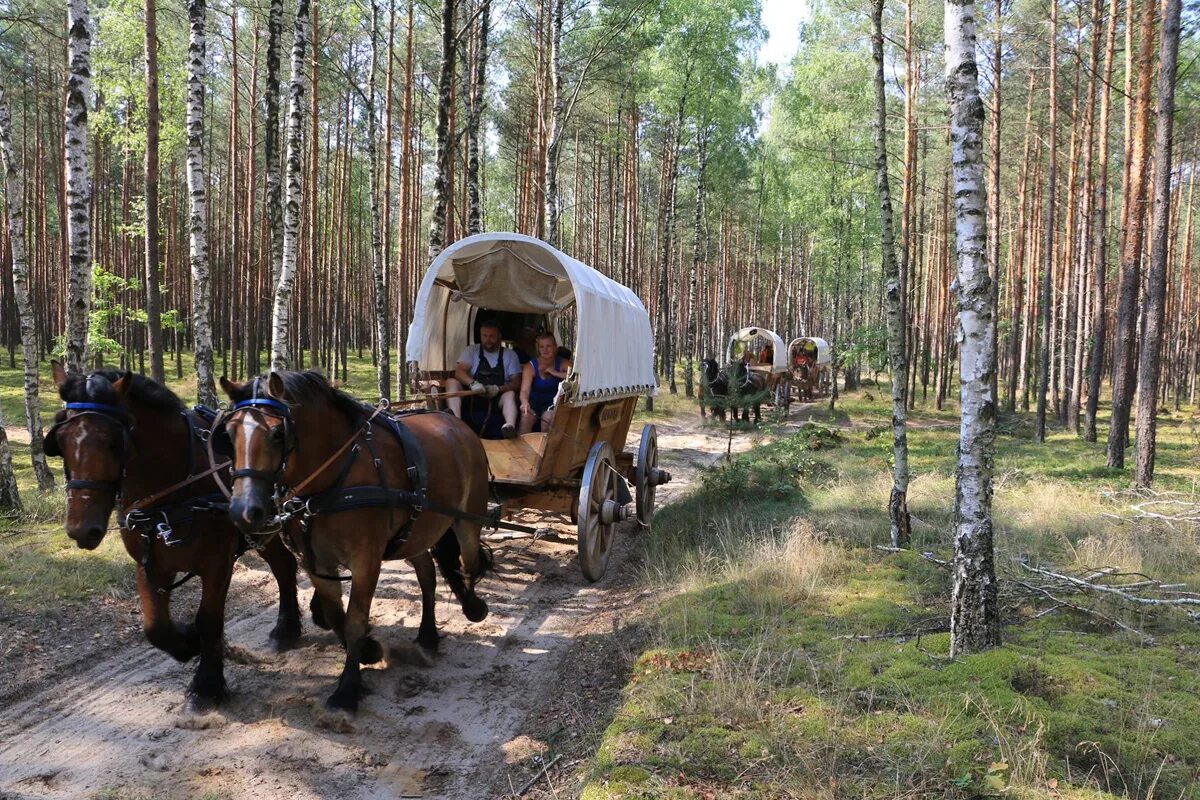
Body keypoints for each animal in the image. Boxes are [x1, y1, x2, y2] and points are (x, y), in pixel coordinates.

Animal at [50, 362, 304, 714]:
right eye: (60, 442)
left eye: (113, 442)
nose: (81, 528)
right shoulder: (150, 563)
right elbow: (156, 627)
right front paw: (189, 641)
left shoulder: (217, 563)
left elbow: (210, 619)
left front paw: (207, 685)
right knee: (283, 566)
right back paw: (286, 629)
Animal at [219, 371, 492, 714]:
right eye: (229, 433)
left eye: (278, 433)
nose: (243, 510)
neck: (335, 478)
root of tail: (455, 422)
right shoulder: (317, 561)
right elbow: (336, 614)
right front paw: (368, 651)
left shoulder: (366, 560)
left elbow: (354, 621)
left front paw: (347, 689)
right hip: (414, 532)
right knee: (427, 575)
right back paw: (428, 634)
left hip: (467, 520)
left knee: (469, 561)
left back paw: (473, 606)